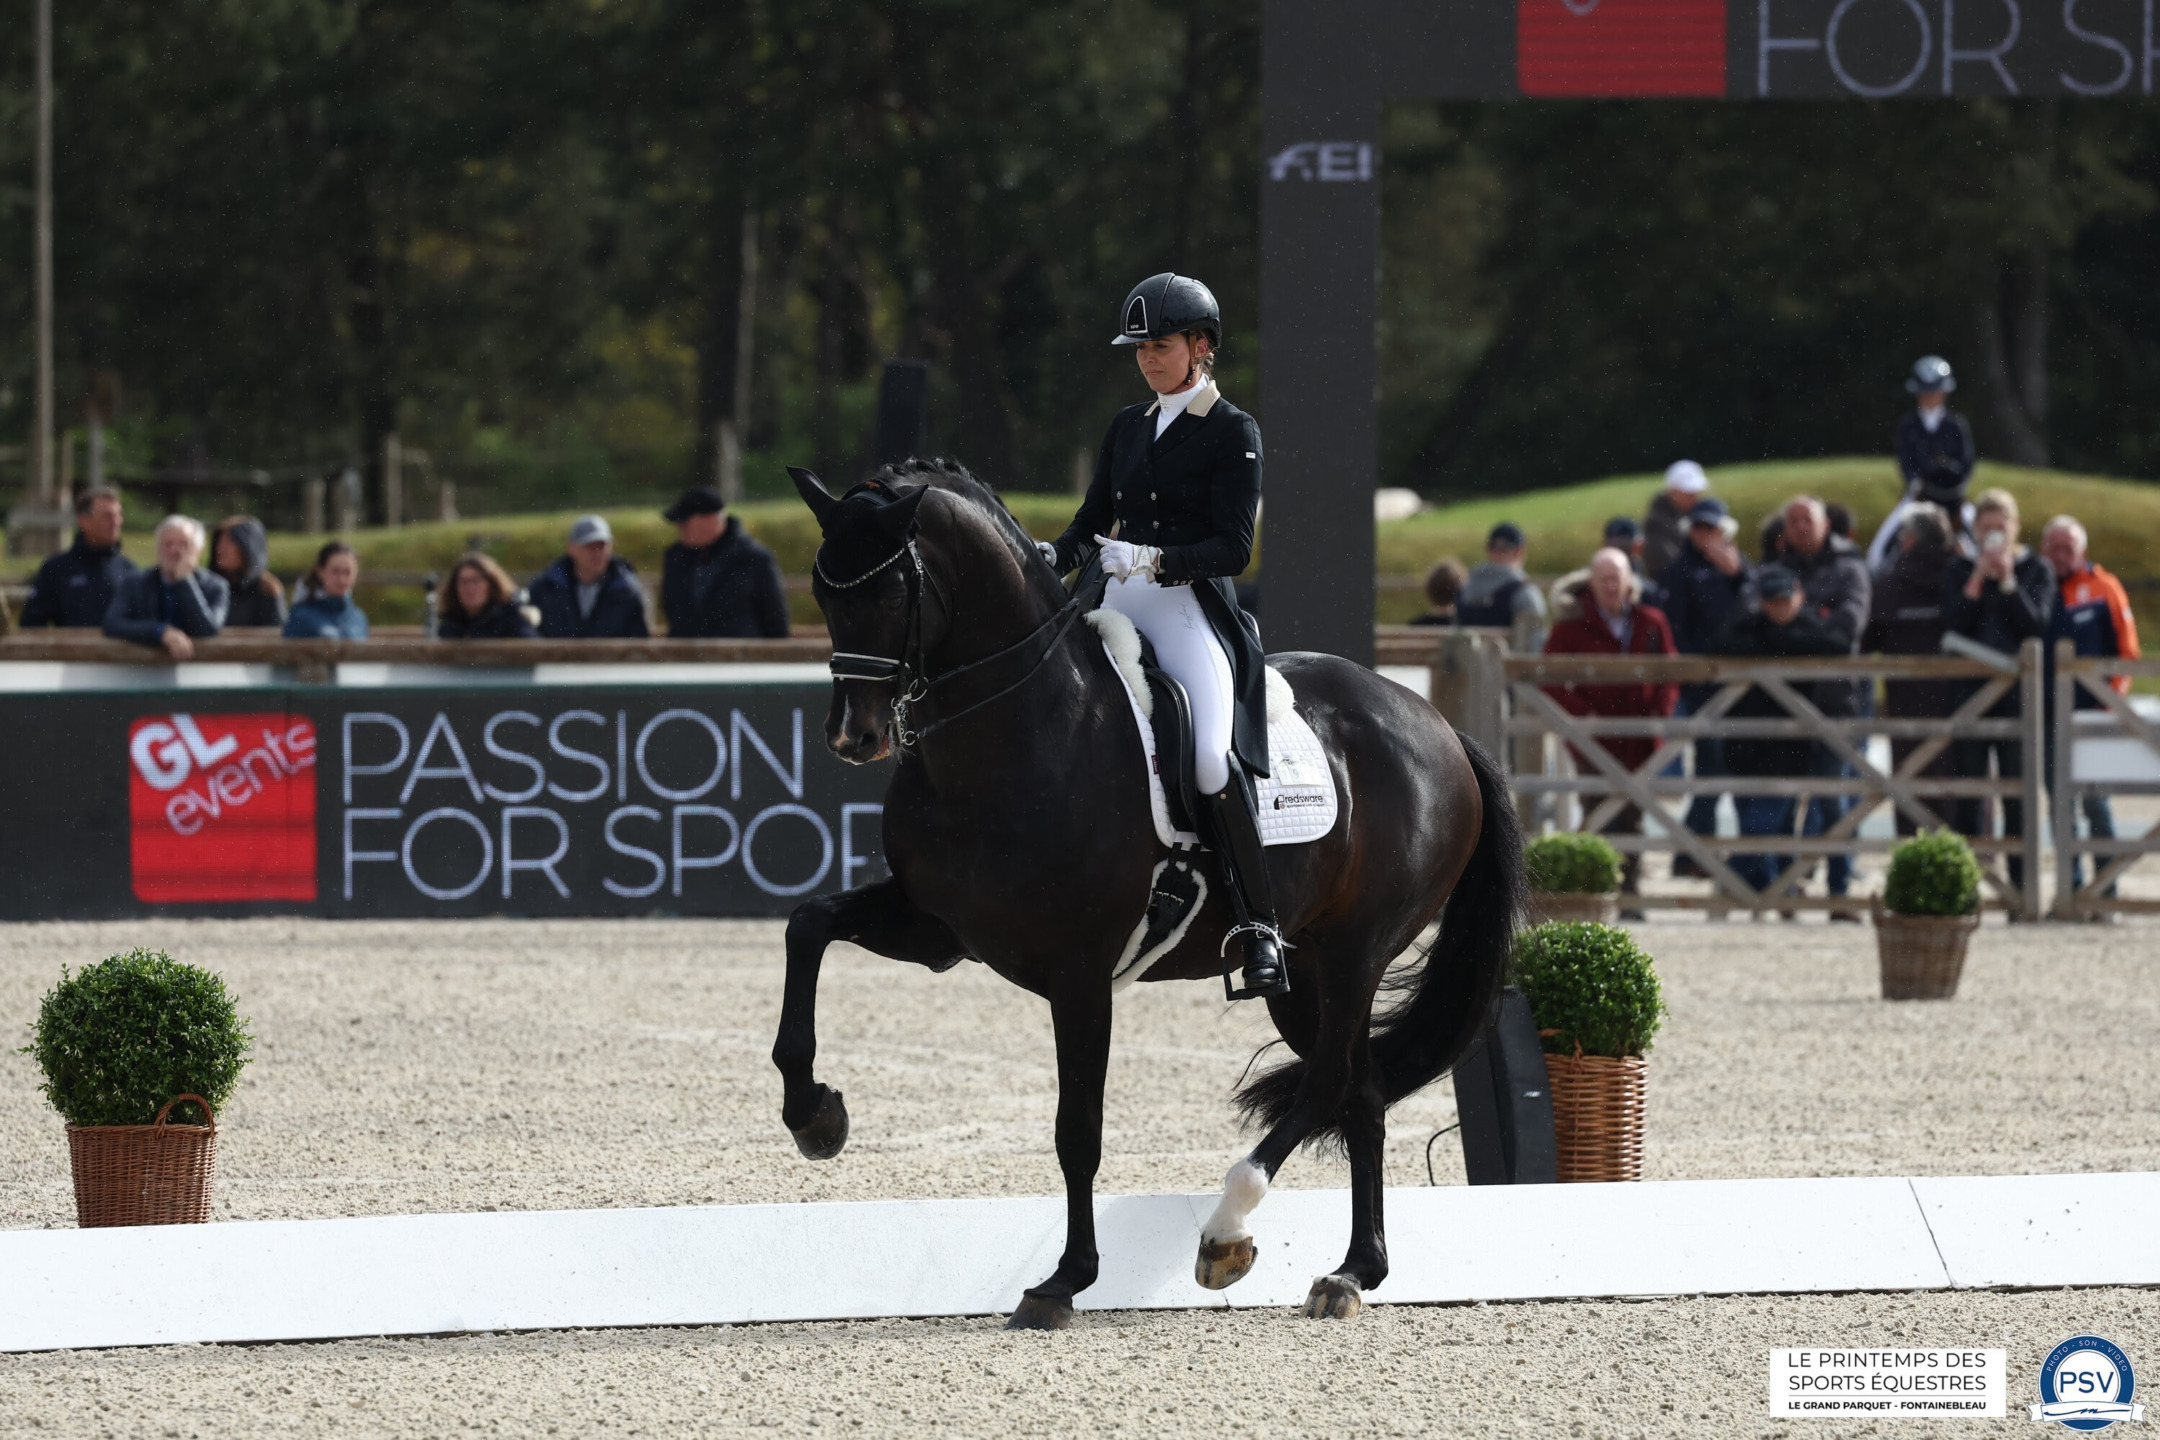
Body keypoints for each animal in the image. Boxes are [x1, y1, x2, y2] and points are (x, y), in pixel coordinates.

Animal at [773, 459, 1520, 1329]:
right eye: (822, 592)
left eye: (893, 593)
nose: (851, 737)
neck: (1020, 732)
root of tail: (1436, 725)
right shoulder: (938, 928)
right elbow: (807, 925)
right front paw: (814, 1113)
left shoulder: (1079, 974)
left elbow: (1077, 1130)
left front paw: (1064, 1280)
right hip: (1304, 974)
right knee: (1359, 1090)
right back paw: (1352, 1272)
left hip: (1354, 954)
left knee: (1332, 1082)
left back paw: (1227, 1232)